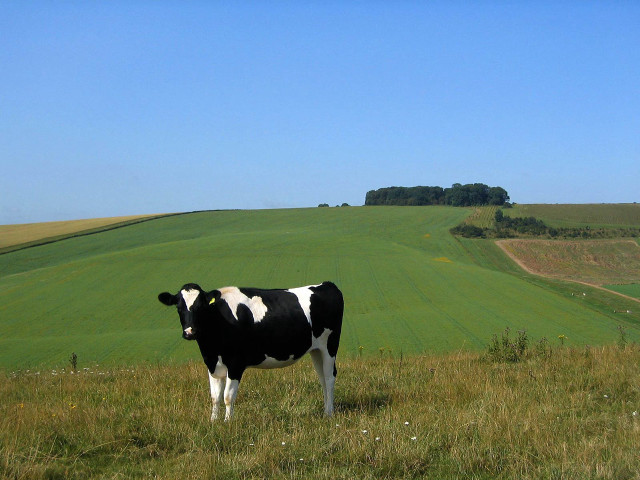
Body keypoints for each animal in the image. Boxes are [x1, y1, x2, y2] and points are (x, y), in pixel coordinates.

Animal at [157, 281, 343, 421]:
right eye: (178, 307)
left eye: (201, 307)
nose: (190, 332)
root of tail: (326, 284)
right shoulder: (212, 364)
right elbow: (215, 397)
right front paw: (213, 421)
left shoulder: (235, 363)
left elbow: (227, 396)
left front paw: (227, 422)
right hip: (316, 350)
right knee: (322, 378)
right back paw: (325, 410)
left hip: (330, 346)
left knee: (329, 377)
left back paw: (329, 413)